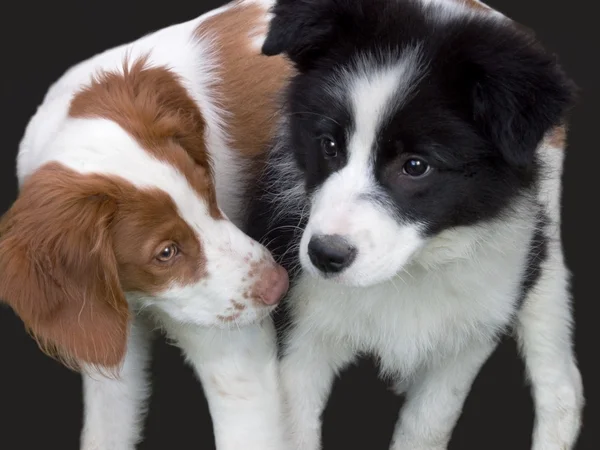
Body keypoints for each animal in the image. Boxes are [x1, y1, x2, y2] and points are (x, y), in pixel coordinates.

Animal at [246, 0, 584, 448]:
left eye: (415, 166)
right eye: (329, 145)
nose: (324, 256)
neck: (413, 270)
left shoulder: (470, 335)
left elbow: (426, 425)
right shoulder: (300, 330)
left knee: (560, 378)